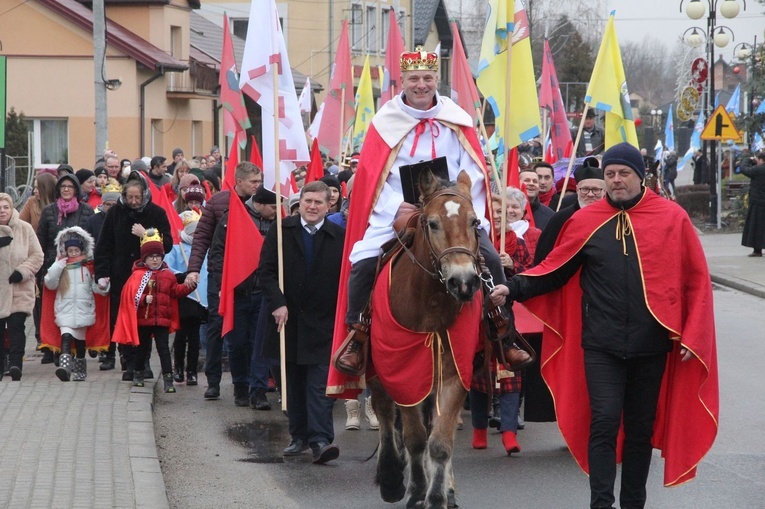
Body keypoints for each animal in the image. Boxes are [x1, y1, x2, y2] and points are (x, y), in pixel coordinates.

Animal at [368, 169, 480, 506]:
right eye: (432, 223)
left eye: (475, 222)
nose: (464, 282)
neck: (431, 308)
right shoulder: (404, 372)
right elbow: (415, 437)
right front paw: (417, 491)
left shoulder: (455, 374)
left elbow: (440, 442)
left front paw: (437, 495)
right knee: (384, 411)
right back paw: (391, 475)